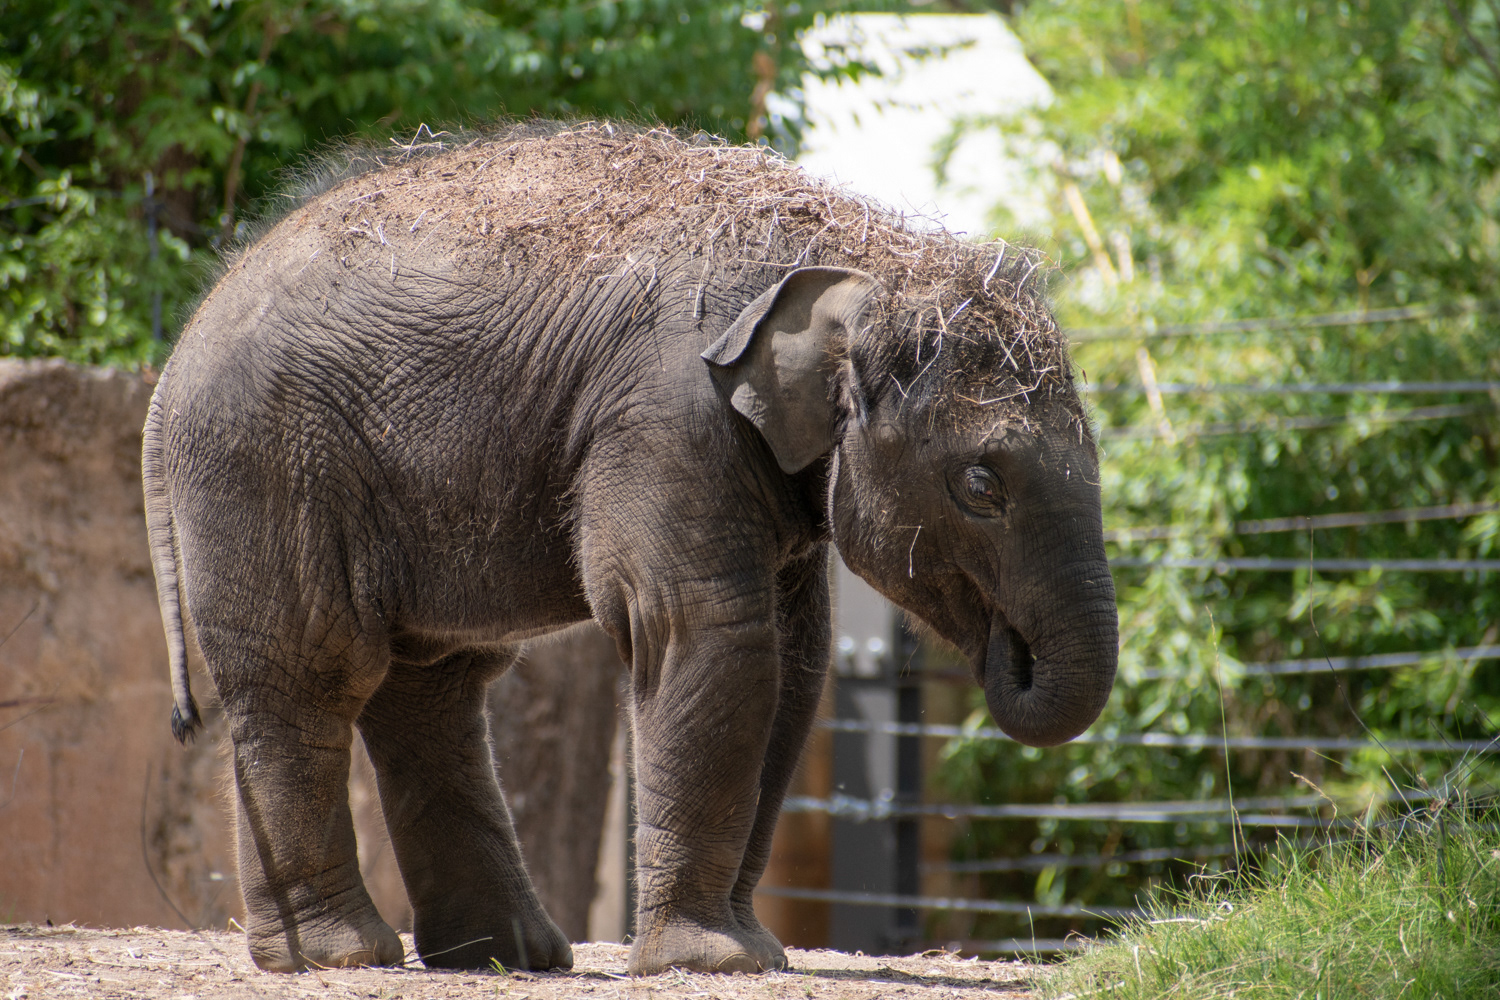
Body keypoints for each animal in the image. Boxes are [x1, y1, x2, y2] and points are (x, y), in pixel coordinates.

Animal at [142, 122, 1117, 977]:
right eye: (980, 486)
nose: (1008, 655)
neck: (855, 256)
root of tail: (182, 339)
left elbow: (798, 664)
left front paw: (750, 954)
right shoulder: (667, 412)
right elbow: (711, 636)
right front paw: (714, 962)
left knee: (433, 685)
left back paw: (507, 957)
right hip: (267, 461)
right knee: (314, 671)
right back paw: (343, 956)